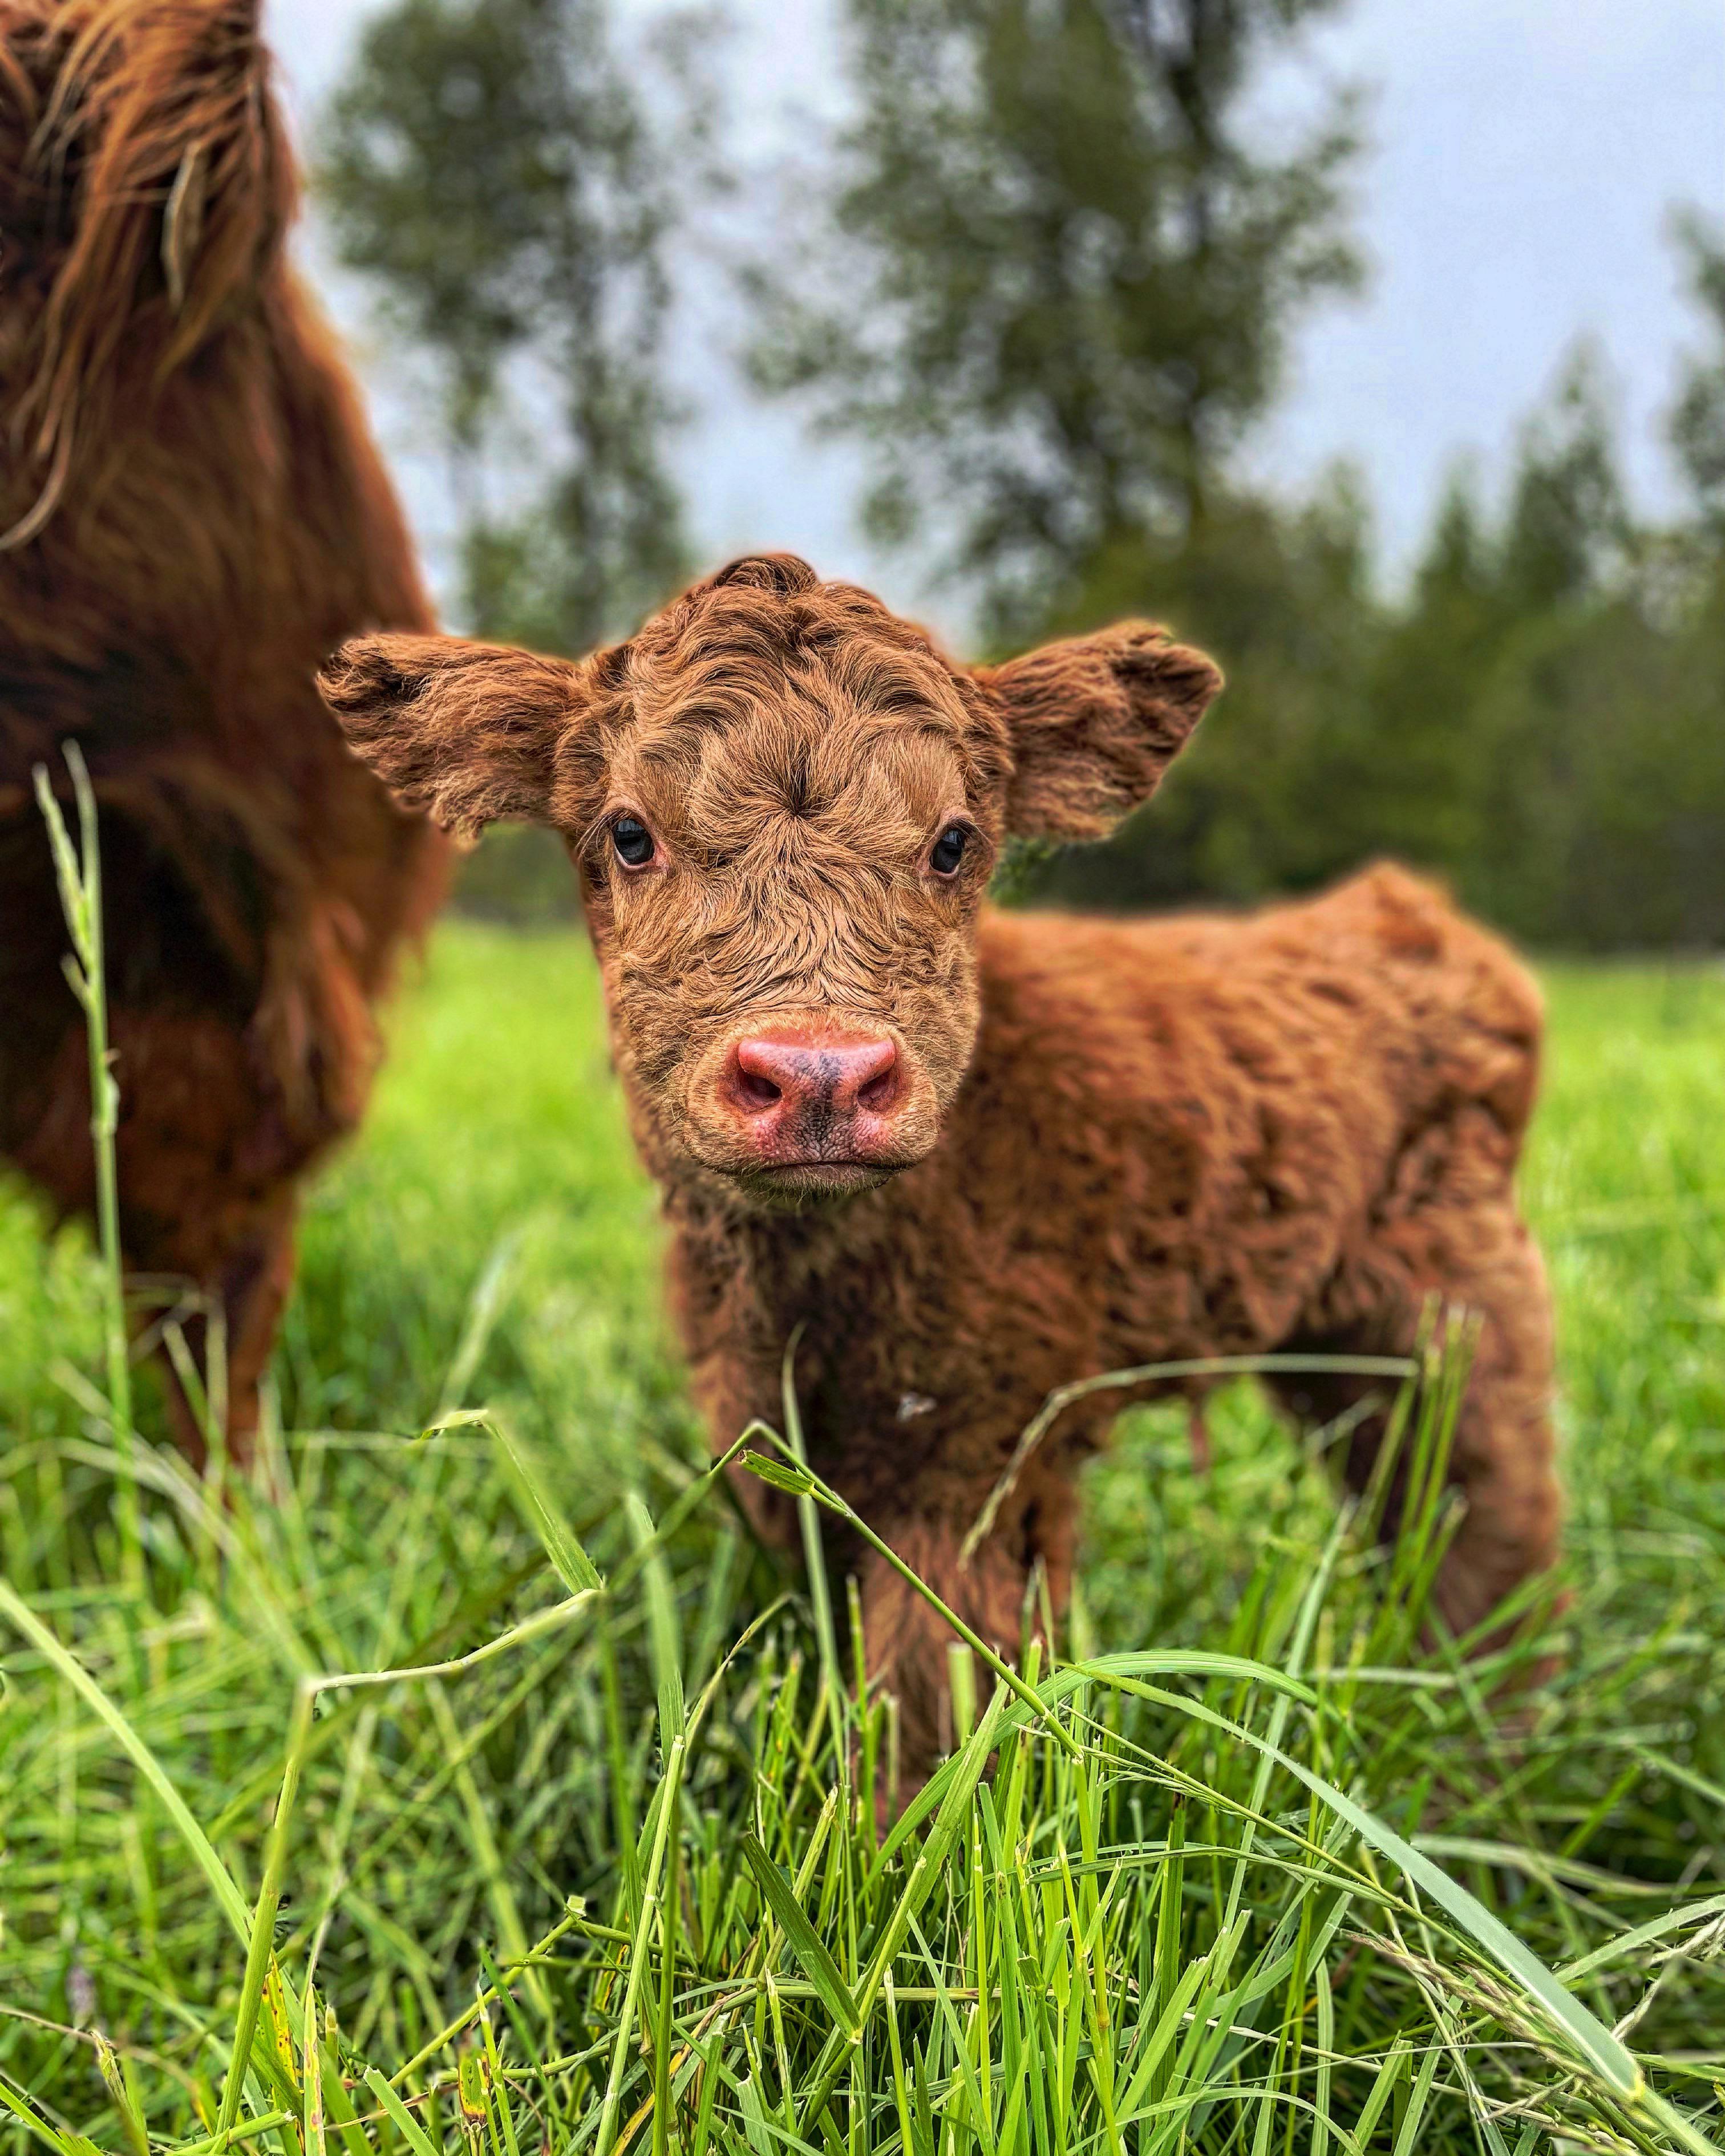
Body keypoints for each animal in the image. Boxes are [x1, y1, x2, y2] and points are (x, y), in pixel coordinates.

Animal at [321, 553, 1560, 1768]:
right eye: (630, 834)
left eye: (954, 842)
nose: (819, 1075)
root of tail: (1395, 915)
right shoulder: (775, 1434)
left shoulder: (978, 1452)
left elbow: (930, 1715)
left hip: (1451, 1302)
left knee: (1485, 1509)